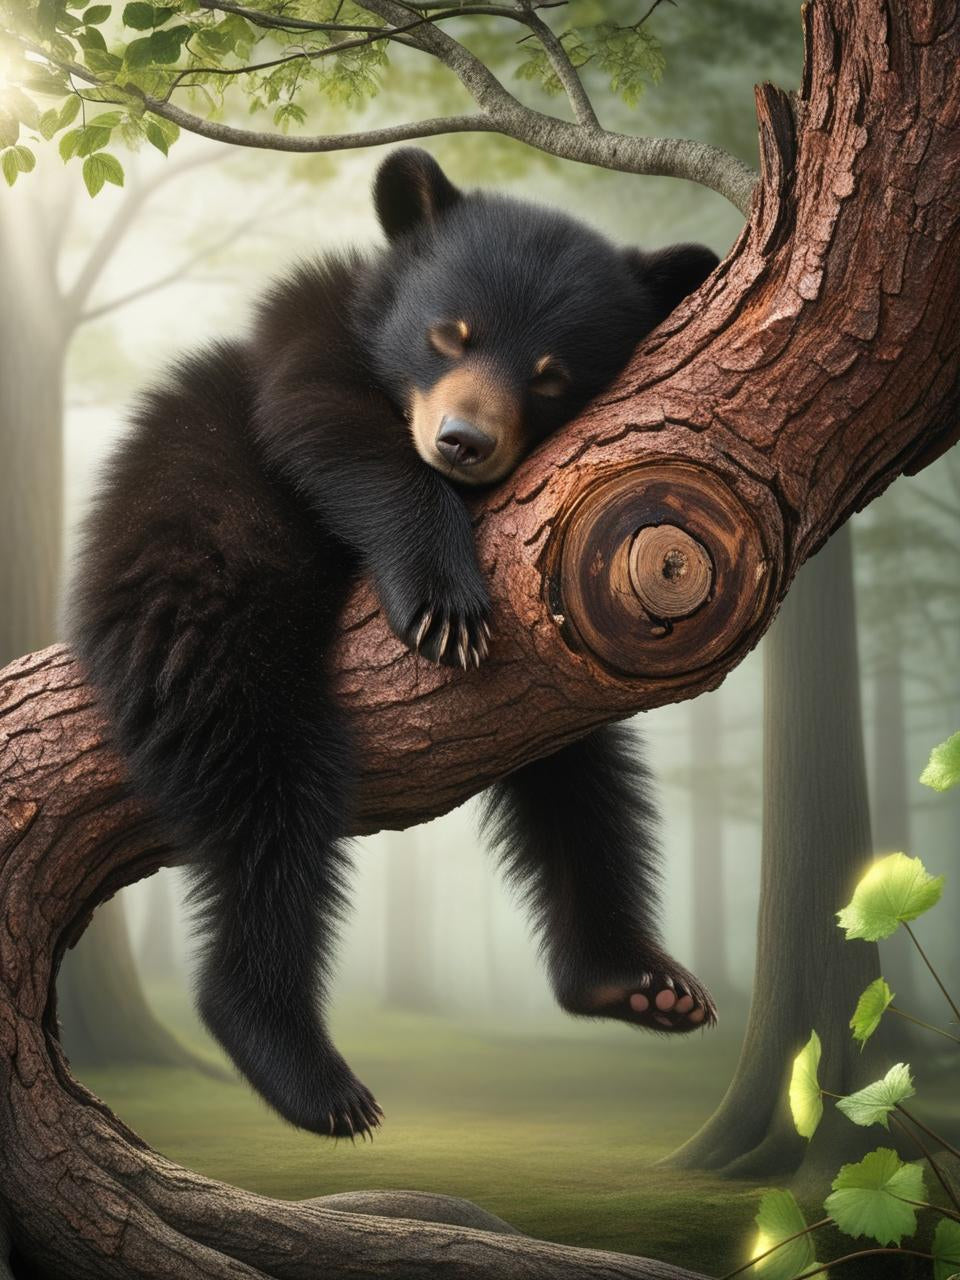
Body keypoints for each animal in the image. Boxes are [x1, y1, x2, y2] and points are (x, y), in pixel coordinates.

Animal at [67, 148, 720, 1139]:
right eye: (449, 335)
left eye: (553, 375)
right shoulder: (303, 335)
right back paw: (302, 1064)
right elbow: (335, 432)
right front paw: (443, 600)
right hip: (205, 597)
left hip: (549, 696)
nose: (463, 441)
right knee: (265, 788)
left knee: (586, 781)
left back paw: (634, 981)